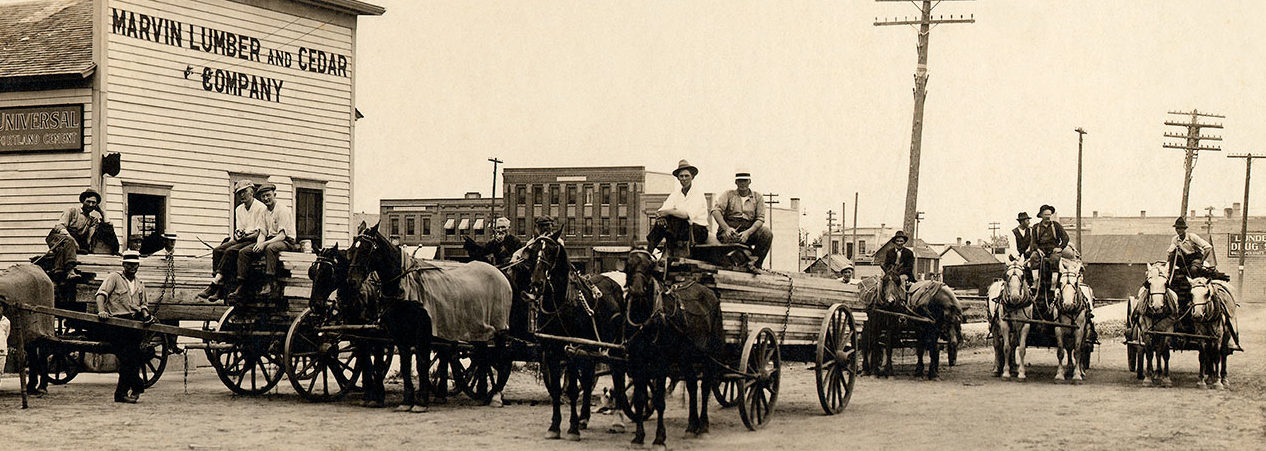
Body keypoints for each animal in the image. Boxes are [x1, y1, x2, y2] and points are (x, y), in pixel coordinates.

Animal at [346, 225, 513, 412]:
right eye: (351, 250)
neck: (405, 284)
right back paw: (483, 394)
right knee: (482, 356)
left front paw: (421, 402)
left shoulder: (422, 332)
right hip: (478, 328)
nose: (351, 281)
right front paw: (406, 401)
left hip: (499, 328)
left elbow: (422, 363)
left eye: (366, 249)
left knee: (500, 356)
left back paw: (496, 395)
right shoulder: (399, 334)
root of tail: (499, 272)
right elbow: (405, 365)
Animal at [513, 230, 627, 443]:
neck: (559, 305)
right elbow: (557, 389)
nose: (536, 283)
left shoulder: (572, 350)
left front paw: (572, 428)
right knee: (589, 378)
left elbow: (572, 389)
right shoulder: (551, 351)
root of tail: (614, 283)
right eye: (532, 251)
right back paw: (584, 418)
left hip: (614, 345)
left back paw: (618, 419)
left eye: (551, 251)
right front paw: (554, 426)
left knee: (617, 375)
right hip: (590, 348)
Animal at [622, 248, 724, 448]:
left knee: (705, 387)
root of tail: (711, 293)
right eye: (629, 265)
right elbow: (639, 398)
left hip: (709, 354)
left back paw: (703, 426)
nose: (637, 290)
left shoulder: (661, 362)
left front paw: (659, 438)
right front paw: (638, 436)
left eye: (649, 266)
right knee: (692, 385)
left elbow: (659, 400)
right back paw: (692, 426)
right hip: (686, 356)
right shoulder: (637, 360)